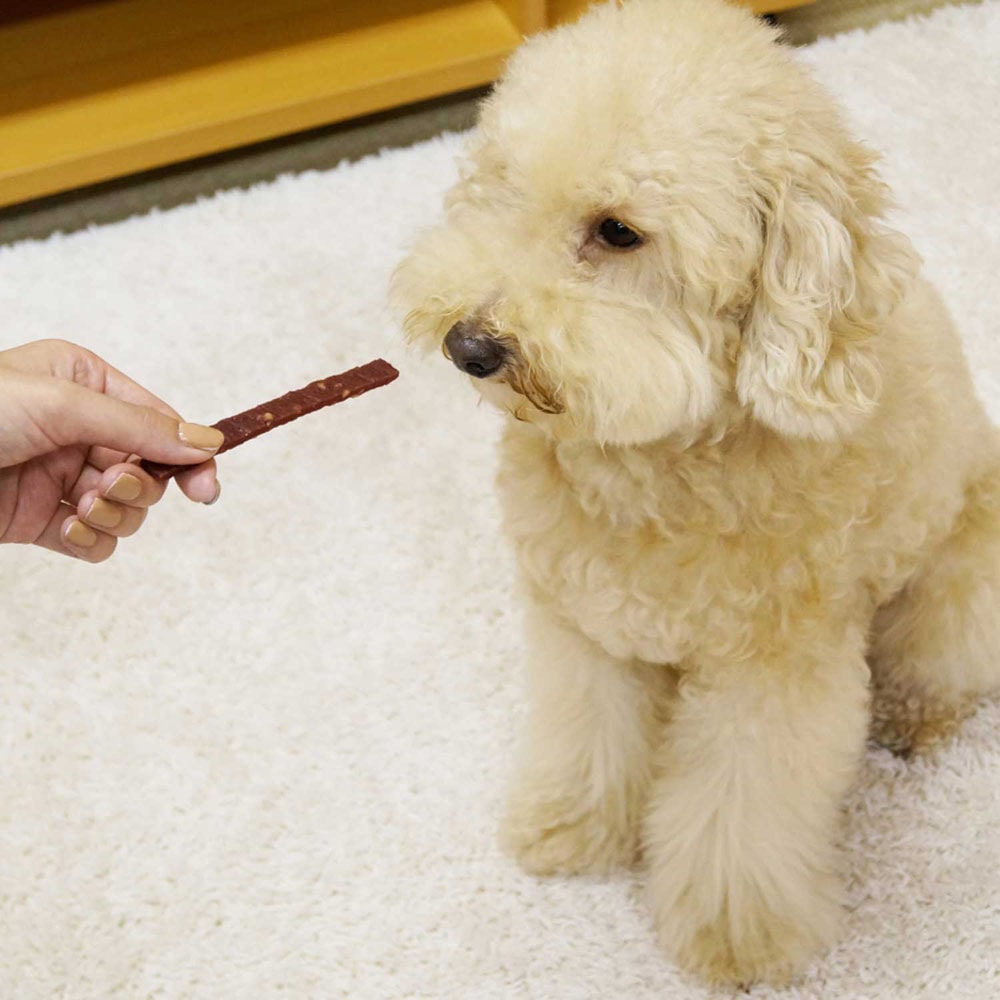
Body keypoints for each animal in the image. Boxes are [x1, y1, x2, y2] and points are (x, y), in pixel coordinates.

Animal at [390, 0, 1000, 984]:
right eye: (502, 188)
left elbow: (739, 816)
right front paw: (572, 829)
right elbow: (586, 736)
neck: (655, 465)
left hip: (954, 584)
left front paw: (735, 939)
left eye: (617, 232)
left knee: (945, 666)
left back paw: (917, 720)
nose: (469, 345)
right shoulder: (585, 629)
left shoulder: (771, 675)